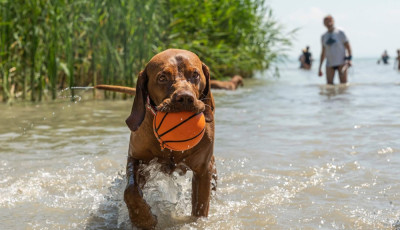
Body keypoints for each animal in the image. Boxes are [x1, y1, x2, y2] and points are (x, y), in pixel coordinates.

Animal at [115, 49, 216, 228]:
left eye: (195, 75)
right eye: (162, 77)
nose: (185, 98)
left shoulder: (203, 170)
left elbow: (200, 209)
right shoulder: (136, 159)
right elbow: (130, 191)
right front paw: (143, 219)